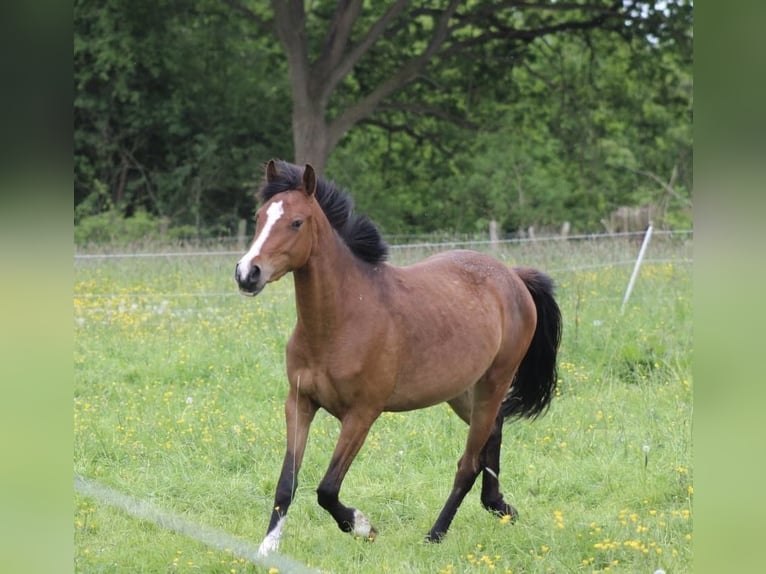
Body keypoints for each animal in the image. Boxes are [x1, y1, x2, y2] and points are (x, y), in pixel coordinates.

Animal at [234, 160, 562, 556]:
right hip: (461, 390)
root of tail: (513, 276)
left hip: (494, 382)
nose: (247, 274)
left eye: (297, 222)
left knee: (468, 463)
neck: (340, 321)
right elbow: (287, 482)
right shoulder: (299, 403)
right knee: (494, 431)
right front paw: (267, 548)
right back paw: (499, 506)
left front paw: (363, 526)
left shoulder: (362, 415)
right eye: (259, 217)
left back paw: (436, 534)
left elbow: (327, 489)